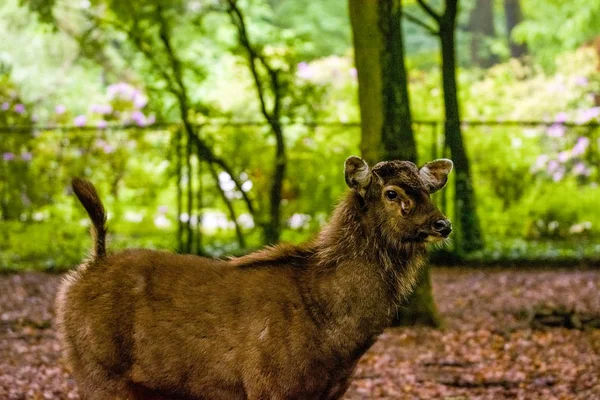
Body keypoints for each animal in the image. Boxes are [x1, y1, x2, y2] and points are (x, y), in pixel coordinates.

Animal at [56, 156, 452, 400]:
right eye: (392, 193)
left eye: (428, 190)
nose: (443, 225)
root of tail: (87, 267)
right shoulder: (269, 383)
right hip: (96, 369)